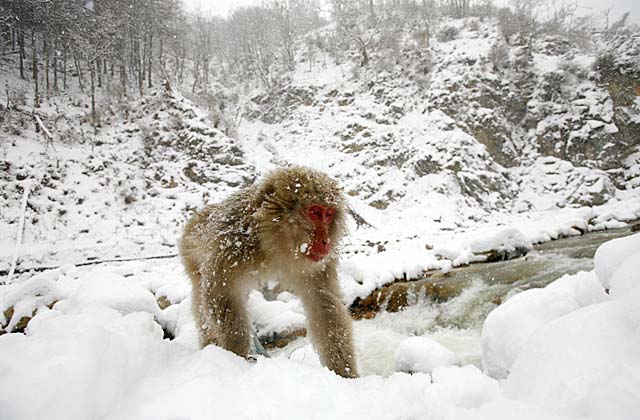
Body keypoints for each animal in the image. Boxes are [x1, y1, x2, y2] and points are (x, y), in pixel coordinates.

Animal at [181, 166, 360, 378]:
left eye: (329, 214)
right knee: (201, 296)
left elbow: (323, 306)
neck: (273, 243)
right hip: (189, 252)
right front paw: (234, 357)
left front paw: (346, 375)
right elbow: (221, 292)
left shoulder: (318, 265)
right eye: (315, 212)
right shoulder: (231, 245)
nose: (326, 242)